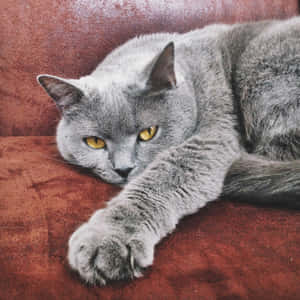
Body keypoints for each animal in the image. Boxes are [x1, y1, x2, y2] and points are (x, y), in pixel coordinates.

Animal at [38, 17, 300, 286]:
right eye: (95, 142)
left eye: (148, 133)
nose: (123, 169)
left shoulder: (212, 135)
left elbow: (164, 176)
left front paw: (107, 240)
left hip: (263, 70)